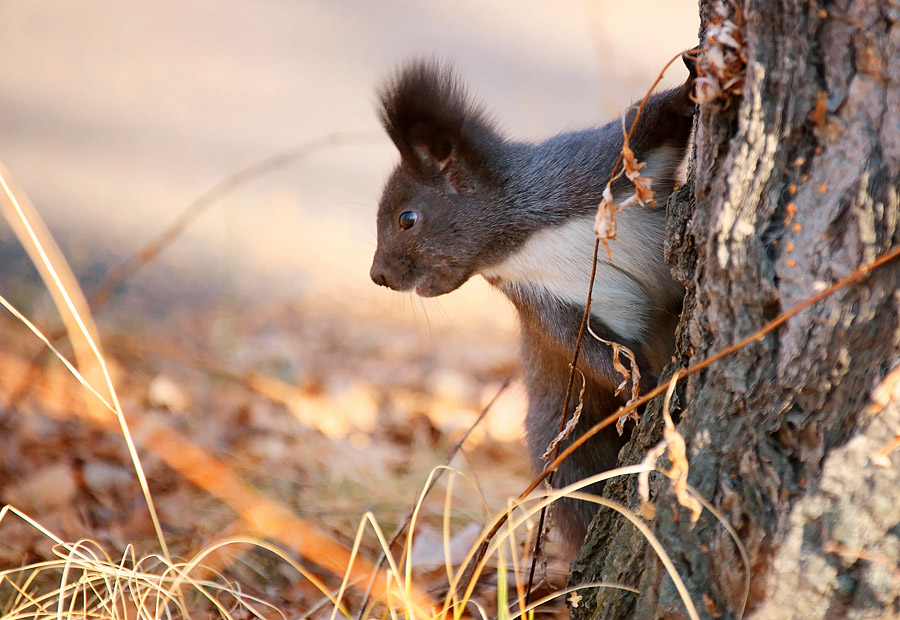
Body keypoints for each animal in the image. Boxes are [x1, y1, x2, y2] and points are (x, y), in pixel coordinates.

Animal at [370, 58, 692, 548]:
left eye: (408, 219)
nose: (378, 277)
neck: (522, 242)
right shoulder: (549, 302)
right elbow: (590, 352)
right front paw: (645, 387)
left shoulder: (587, 169)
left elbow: (651, 124)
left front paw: (699, 77)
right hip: (566, 447)